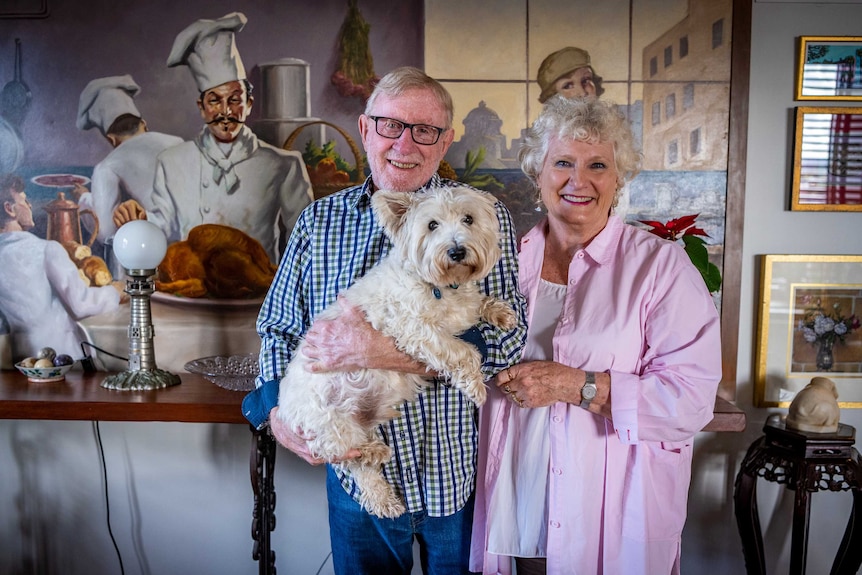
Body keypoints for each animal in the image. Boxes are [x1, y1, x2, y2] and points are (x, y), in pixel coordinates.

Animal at [280, 187, 516, 520]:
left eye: (468, 219)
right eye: (432, 225)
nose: (457, 251)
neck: (442, 286)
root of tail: (284, 410)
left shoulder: (463, 308)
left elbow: (480, 302)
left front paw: (501, 312)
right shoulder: (413, 328)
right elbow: (463, 352)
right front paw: (474, 387)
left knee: (359, 467)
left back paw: (383, 493)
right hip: (329, 418)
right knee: (339, 453)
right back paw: (374, 455)